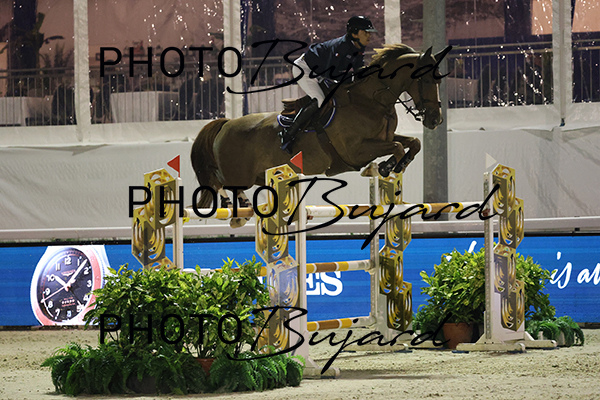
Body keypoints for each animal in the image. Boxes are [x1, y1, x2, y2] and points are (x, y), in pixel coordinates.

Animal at [191, 44, 444, 227]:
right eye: (427, 79)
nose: (435, 119)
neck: (371, 101)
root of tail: (227, 123)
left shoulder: (383, 139)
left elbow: (413, 142)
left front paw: (396, 164)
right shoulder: (356, 151)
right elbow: (398, 147)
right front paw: (388, 166)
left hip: (257, 175)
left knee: (224, 183)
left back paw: (241, 211)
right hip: (238, 172)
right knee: (219, 182)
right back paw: (236, 212)